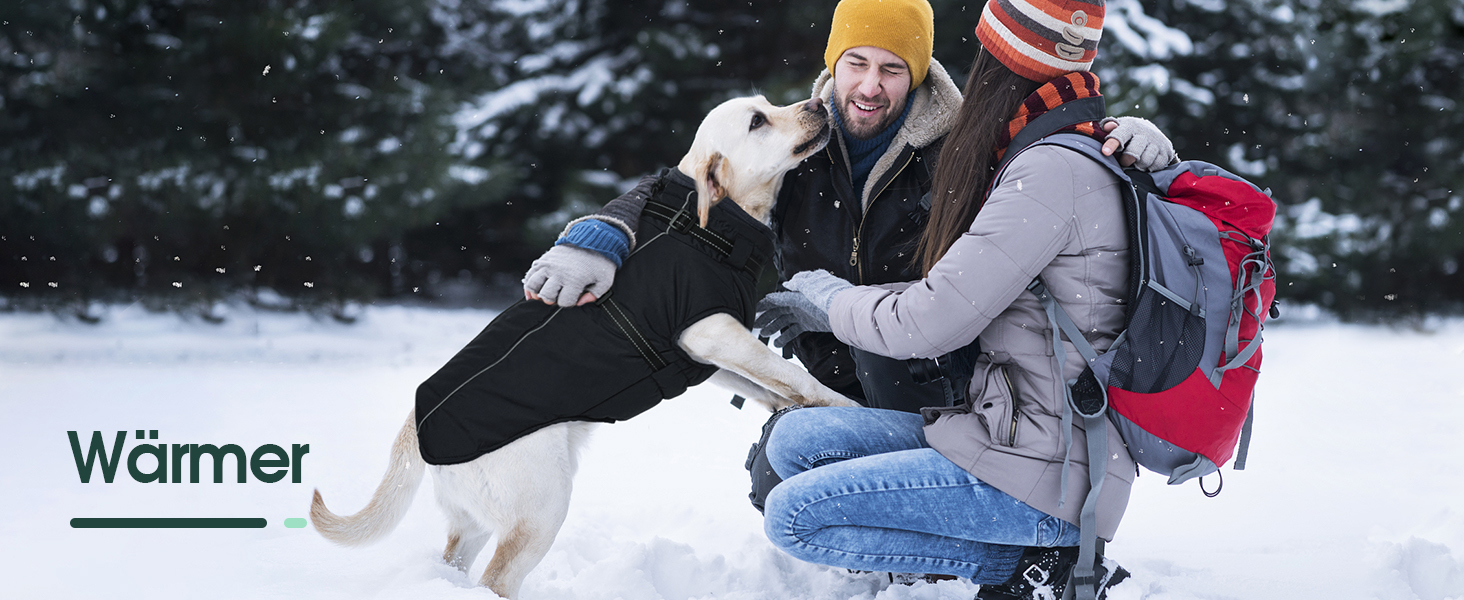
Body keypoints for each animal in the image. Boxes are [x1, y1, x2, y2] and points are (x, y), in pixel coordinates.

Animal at [310, 95, 854, 597]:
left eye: (768, 104)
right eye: (758, 121)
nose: (816, 103)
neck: (708, 227)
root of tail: (416, 426)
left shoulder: (703, 353)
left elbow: (763, 383)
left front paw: (785, 406)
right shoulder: (709, 330)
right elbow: (791, 374)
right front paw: (843, 407)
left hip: (477, 522)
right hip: (542, 510)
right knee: (495, 580)